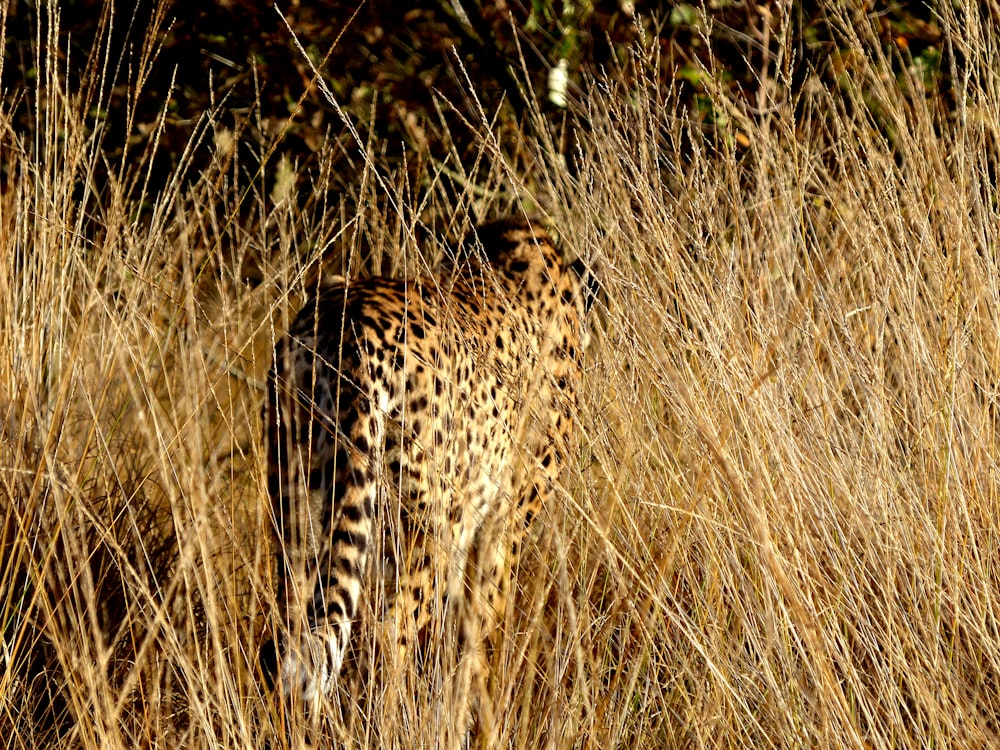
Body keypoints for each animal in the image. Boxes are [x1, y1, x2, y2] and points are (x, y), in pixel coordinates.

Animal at [264, 217, 592, 736]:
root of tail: (348, 322)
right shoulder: (501, 526)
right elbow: (478, 639)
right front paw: (473, 727)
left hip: (298, 504)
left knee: (295, 630)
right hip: (429, 524)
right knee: (387, 633)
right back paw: (387, 729)